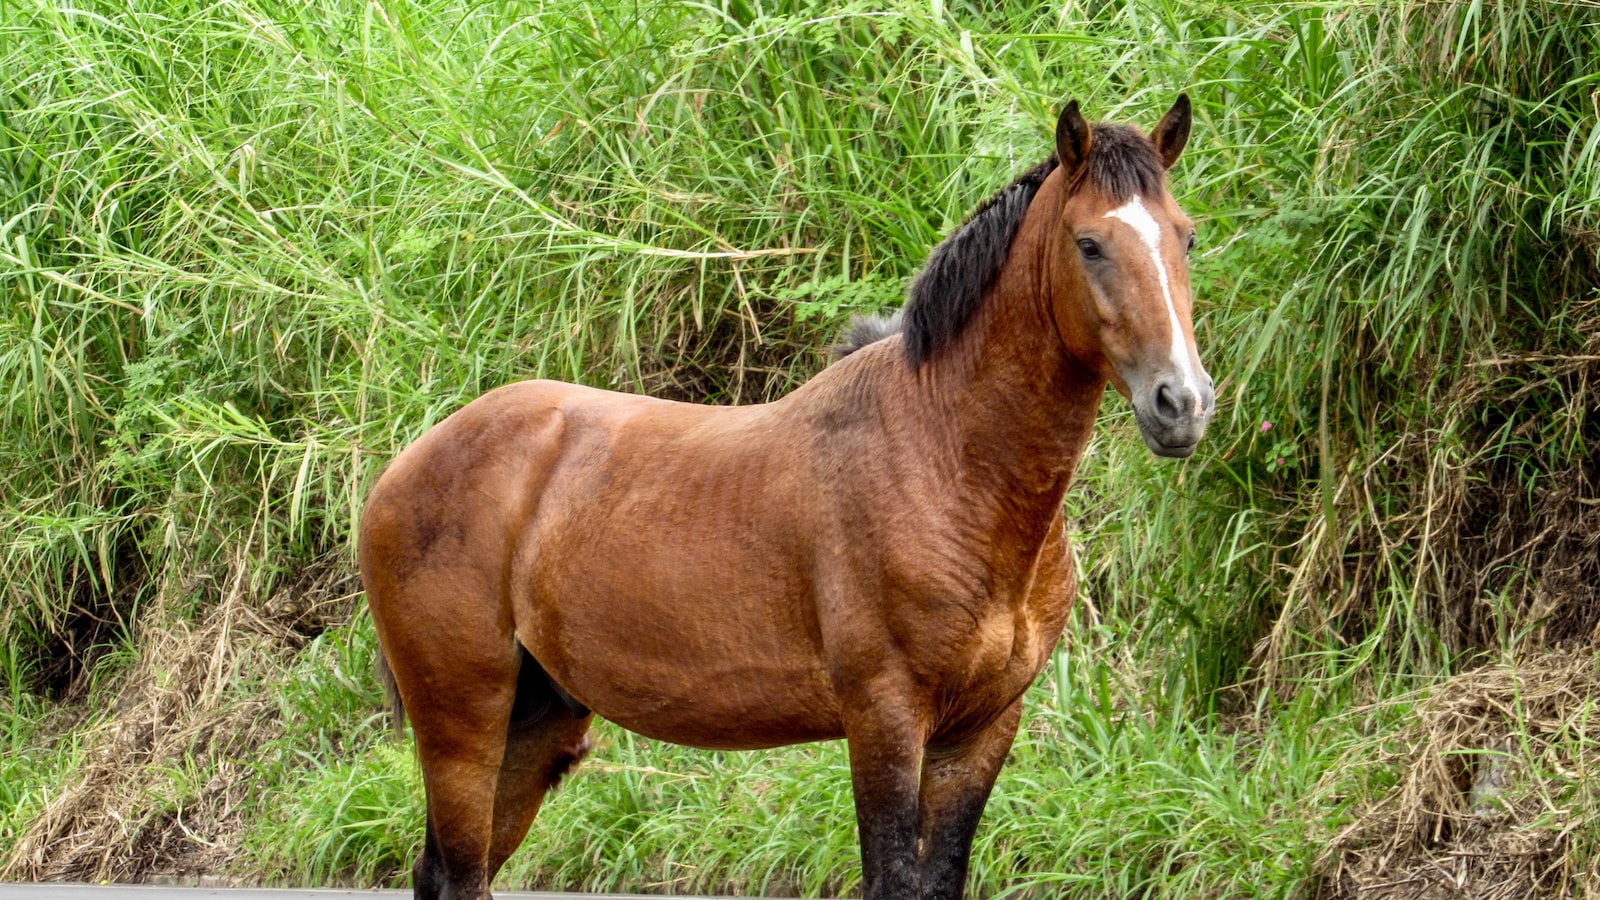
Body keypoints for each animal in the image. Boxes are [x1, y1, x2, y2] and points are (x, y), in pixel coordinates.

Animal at [363, 98, 1209, 896]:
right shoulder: (885, 720)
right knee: (460, 871)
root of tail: (401, 469)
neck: (947, 458)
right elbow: (891, 879)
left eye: (1186, 237)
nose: (1183, 403)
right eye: (1090, 243)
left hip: (534, 726)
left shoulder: (981, 731)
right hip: (463, 725)